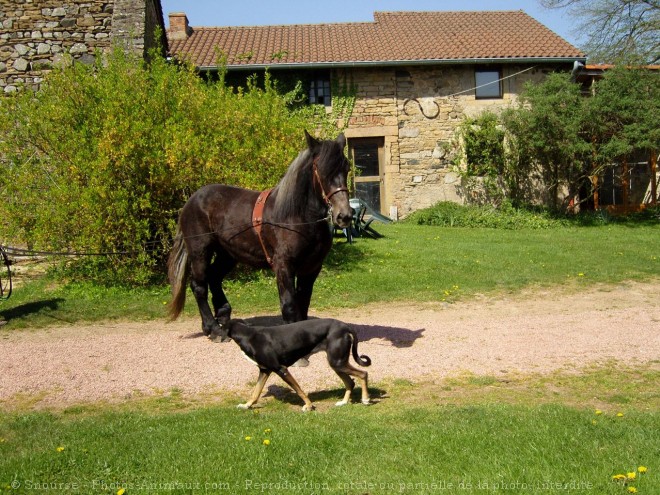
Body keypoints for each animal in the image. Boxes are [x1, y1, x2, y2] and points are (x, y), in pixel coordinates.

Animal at [168, 132, 354, 340]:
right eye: (321, 169)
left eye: (346, 168)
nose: (344, 215)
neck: (297, 216)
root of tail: (190, 202)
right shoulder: (283, 266)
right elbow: (290, 307)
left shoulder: (311, 268)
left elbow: (303, 304)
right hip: (200, 252)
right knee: (199, 286)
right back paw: (213, 328)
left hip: (227, 254)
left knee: (214, 277)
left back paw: (223, 318)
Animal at [224, 318, 372, 410]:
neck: (249, 335)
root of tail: (345, 326)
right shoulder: (264, 370)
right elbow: (255, 393)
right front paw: (246, 406)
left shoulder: (281, 369)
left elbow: (299, 390)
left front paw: (309, 406)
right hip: (337, 364)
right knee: (350, 382)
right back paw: (343, 402)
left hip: (338, 362)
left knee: (363, 374)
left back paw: (365, 399)